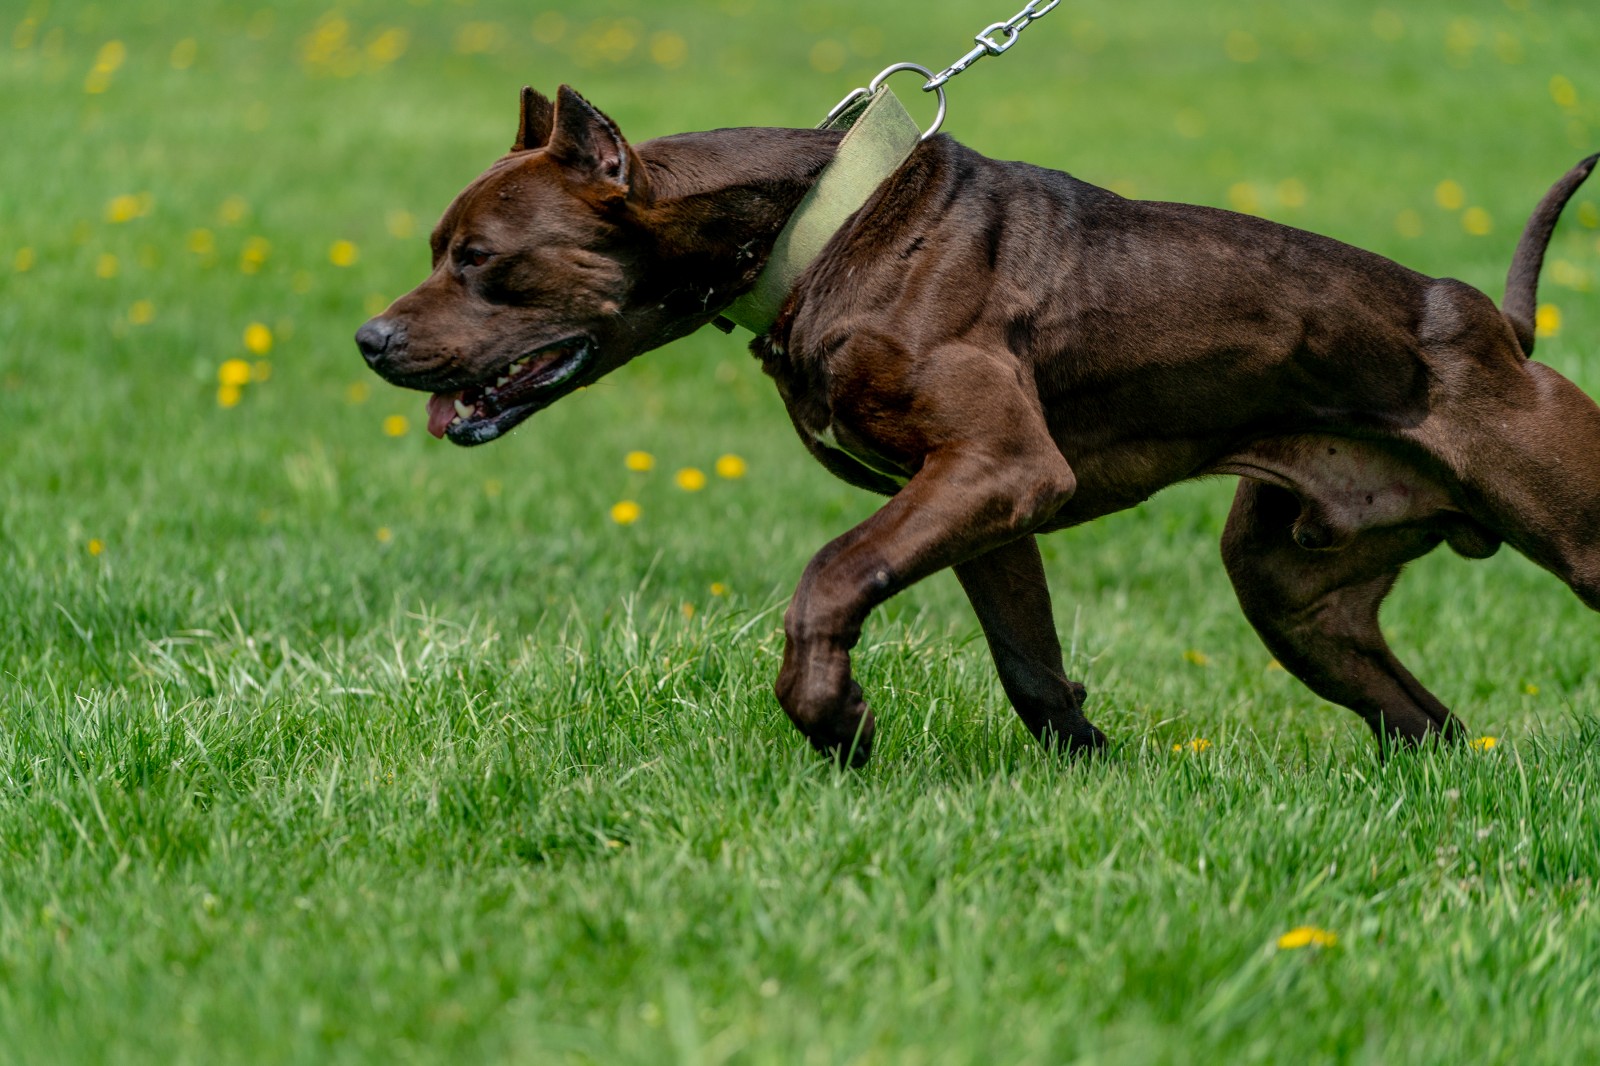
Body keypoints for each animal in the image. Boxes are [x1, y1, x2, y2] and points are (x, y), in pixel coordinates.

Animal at [360, 85, 1600, 765]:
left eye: (481, 260)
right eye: (438, 248)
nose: (371, 339)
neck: (817, 226)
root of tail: (1499, 330)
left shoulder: (998, 468)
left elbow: (828, 574)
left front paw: (833, 717)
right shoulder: (985, 505)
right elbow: (1031, 668)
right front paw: (1101, 772)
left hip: (1569, 533)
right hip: (1294, 596)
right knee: (1427, 725)